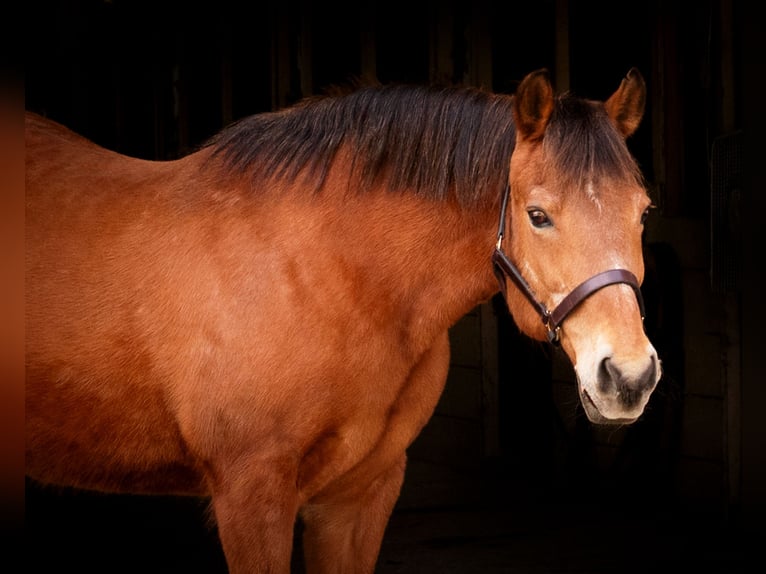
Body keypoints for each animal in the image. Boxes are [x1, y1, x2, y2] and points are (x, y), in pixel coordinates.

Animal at [25, 68, 660, 573]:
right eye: (537, 215)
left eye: (643, 211)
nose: (629, 377)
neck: (331, 274)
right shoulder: (251, 496)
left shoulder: (358, 496)